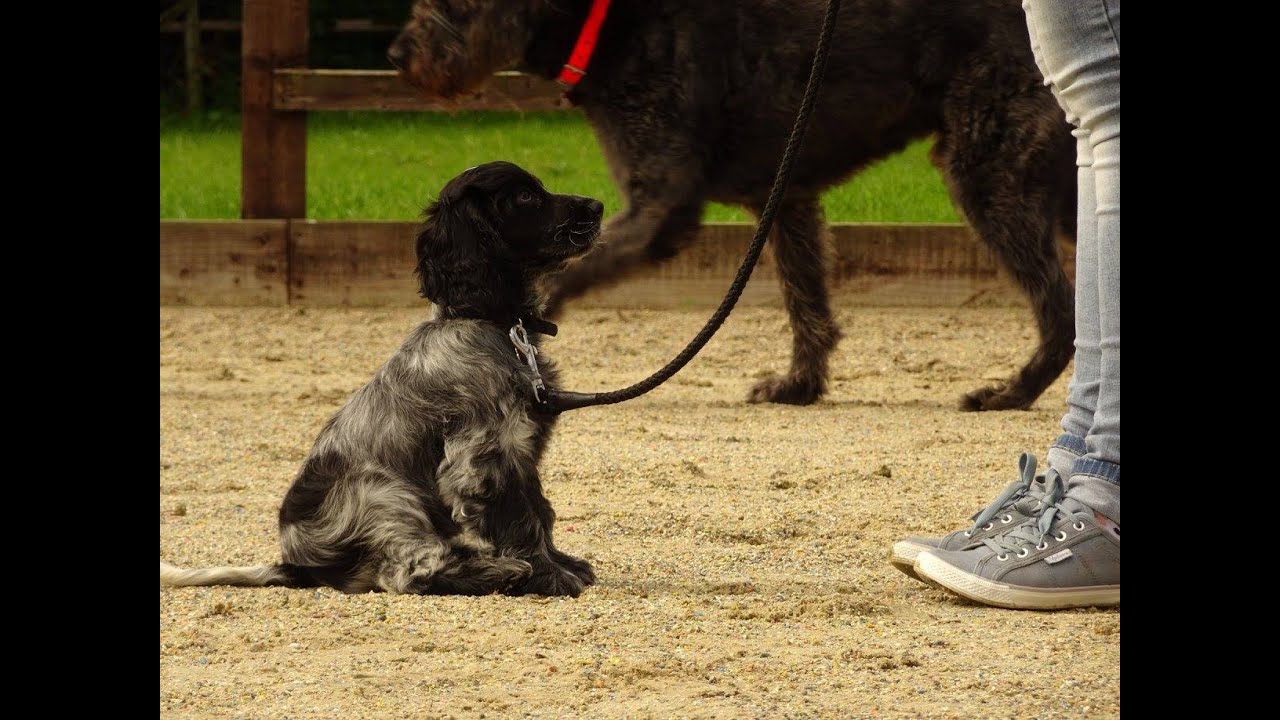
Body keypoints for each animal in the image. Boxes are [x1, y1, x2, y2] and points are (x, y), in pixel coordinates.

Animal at [158, 162, 604, 594]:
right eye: (525, 196)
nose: (599, 205)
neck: (493, 325)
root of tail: (297, 566)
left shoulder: (522, 448)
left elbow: (539, 509)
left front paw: (562, 563)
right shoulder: (482, 454)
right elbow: (519, 518)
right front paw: (550, 575)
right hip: (385, 496)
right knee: (409, 573)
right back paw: (499, 573)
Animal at [384, 0, 1075, 409]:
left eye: (448, 2)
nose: (397, 56)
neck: (611, 20)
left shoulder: (661, 207)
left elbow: (560, 281)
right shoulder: (787, 196)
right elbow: (807, 301)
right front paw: (799, 385)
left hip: (989, 171)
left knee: (1060, 306)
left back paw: (1012, 392)